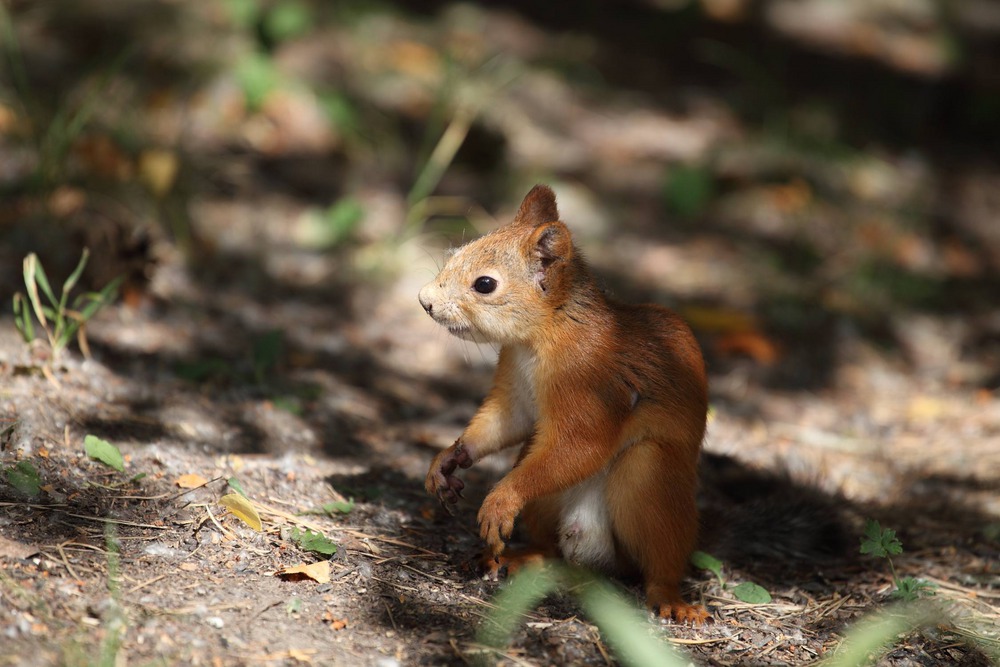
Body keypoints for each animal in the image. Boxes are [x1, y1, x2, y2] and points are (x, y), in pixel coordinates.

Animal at [418, 185, 708, 624]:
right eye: (454, 253)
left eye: (485, 284)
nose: (424, 301)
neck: (545, 333)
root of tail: (588, 545)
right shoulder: (515, 381)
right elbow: (506, 421)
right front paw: (447, 459)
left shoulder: (590, 382)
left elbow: (581, 445)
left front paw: (501, 499)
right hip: (542, 491)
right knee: (550, 546)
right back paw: (518, 556)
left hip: (651, 478)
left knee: (658, 557)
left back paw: (670, 597)